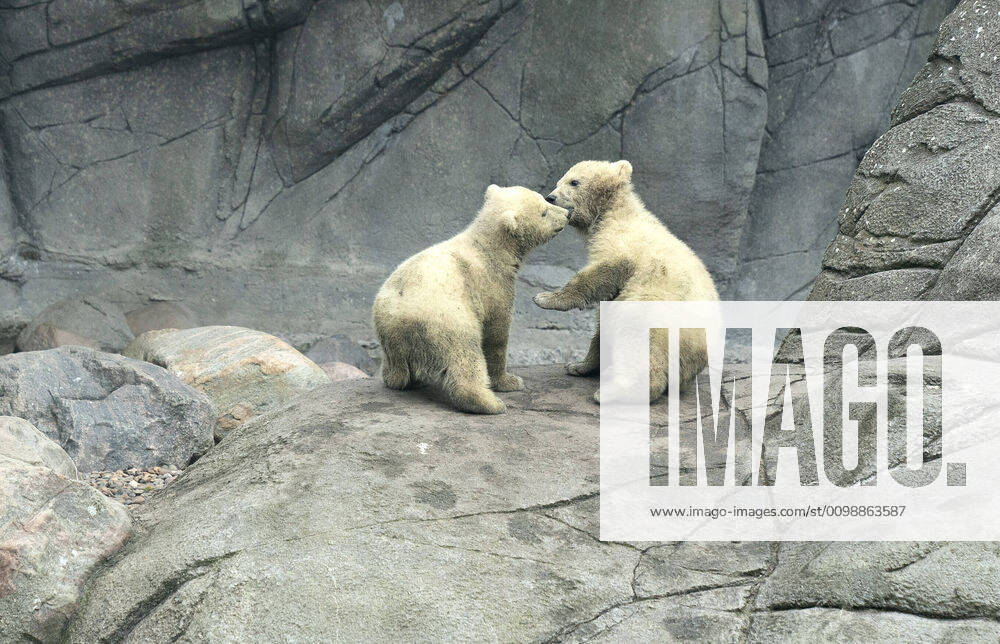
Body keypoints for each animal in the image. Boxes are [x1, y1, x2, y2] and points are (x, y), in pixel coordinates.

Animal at [373, 185, 568, 414]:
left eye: (544, 200)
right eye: (544, 212)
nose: (567, 213)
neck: (488, 247)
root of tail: (400, 317)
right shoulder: (492, 285)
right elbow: (496, 332)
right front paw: (509, 381)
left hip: (388, 332)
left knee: (395, 367)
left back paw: (400, 379)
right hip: (446, 320)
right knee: (464, 355)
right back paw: (490, 403)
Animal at [534, 160, 719, 404]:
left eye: (573, 182)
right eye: (559, 181)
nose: (550, 197)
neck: (616, 211)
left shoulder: (623, 244)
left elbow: (602, 272)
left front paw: (545, 298)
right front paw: (577, 365)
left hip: (655, 311)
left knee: (635, 341)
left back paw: (611, 392)